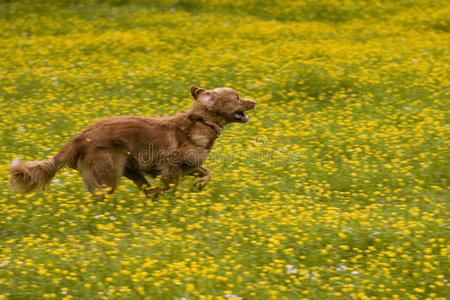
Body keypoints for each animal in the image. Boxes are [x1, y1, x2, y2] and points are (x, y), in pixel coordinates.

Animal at [9, 85, 256, 198]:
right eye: (236, 97)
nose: (254, 101)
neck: (203, 122)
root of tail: (77, 138)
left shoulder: (189, 166)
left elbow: (207, 173)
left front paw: (197, 186)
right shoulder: (171, 164)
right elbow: (173, 185)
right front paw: (174, 201)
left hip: (128, 166)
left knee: (144, 187)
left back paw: (153, 195)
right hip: (109, 174)